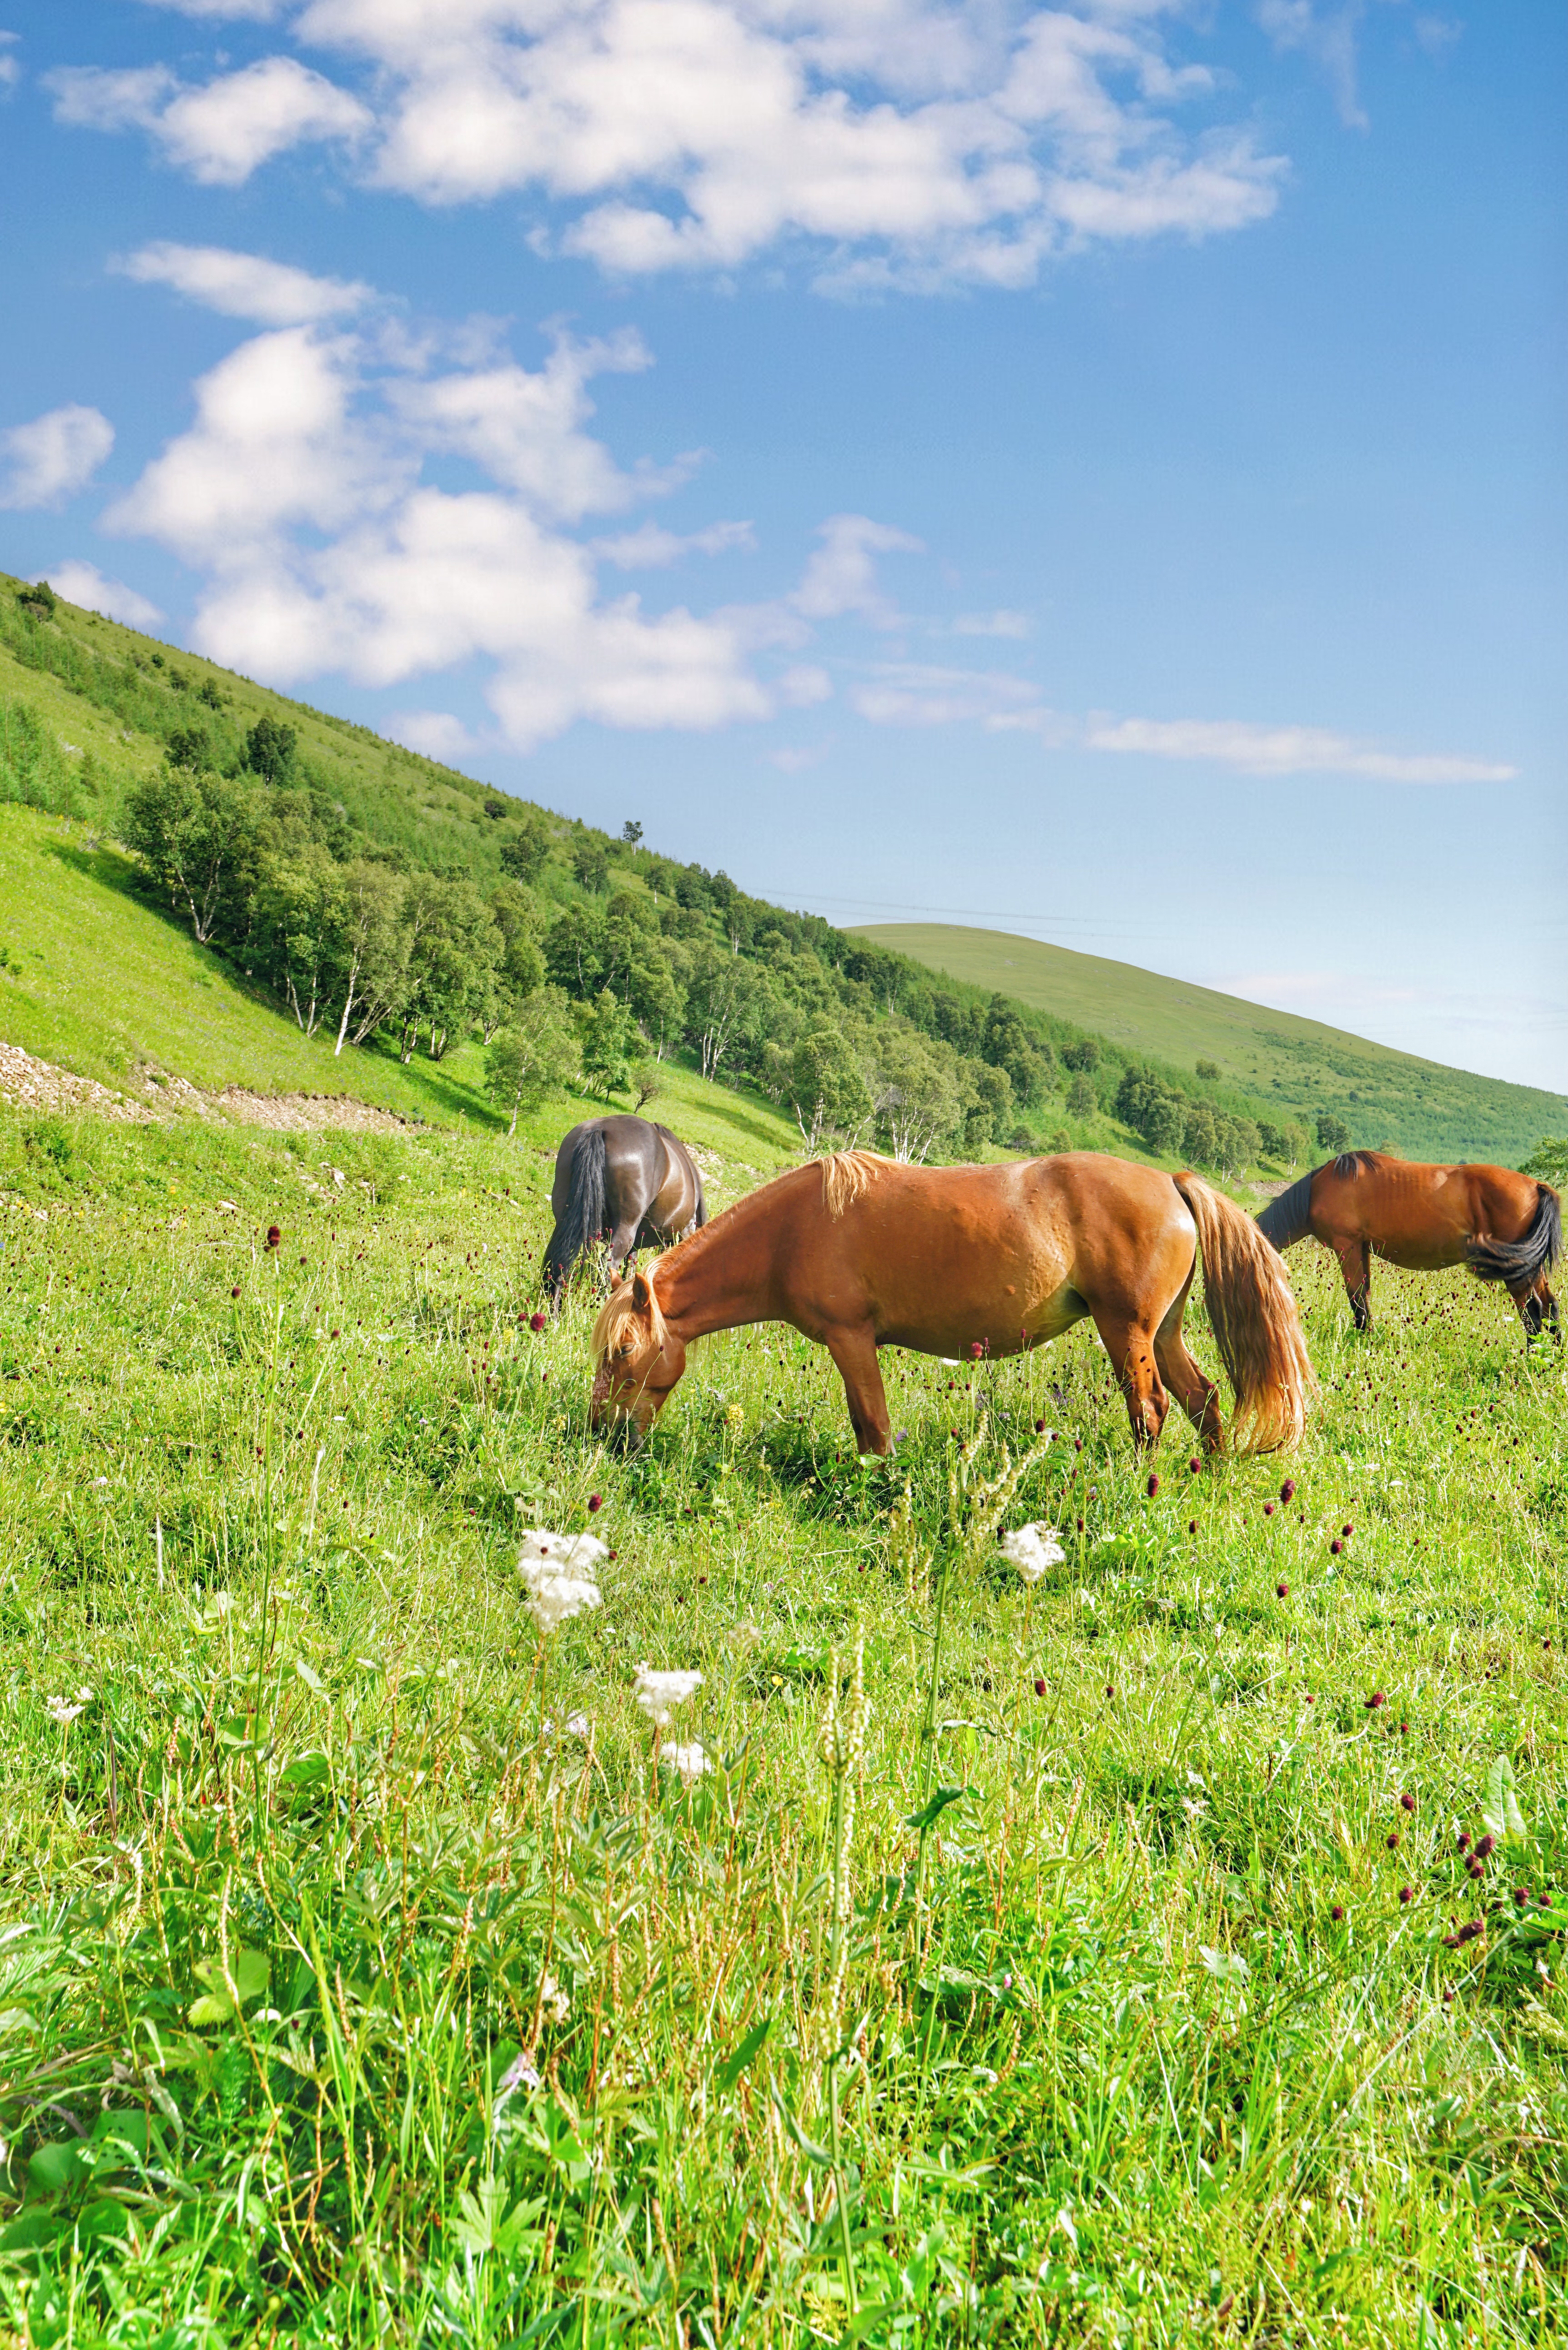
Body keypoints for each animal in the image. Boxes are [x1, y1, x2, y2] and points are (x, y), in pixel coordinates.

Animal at [545, 1114, 705, 1306]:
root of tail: (601, 1129)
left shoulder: (636, 1244)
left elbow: (631, 1269)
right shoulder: (685, 1231)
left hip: (568, 1223)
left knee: (557, 1263)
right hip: (625, 1229)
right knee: (607, 1266)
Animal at [588, 1151, 1316, 1457]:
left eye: (622, 1350)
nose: (602, 1432)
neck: (795, 1229)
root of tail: (1171, 1180)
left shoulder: (851, 1340)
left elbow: (874, 1428)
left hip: (1126, 1331)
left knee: (1151, 1410)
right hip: (1162, 1333)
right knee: (1203, 1400)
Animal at [1260, 1151, 1561, 1344]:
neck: (1318, 1191)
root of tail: (1538, 1185)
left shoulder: (1347, 1246)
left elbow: (1357, 1300)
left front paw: (1363, 1342)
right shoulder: (1362, 1248)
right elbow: (1365, 1296)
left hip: (1518, 1273)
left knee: (1533, 1312)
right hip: (1531, 1269)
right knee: (1550, 1307)